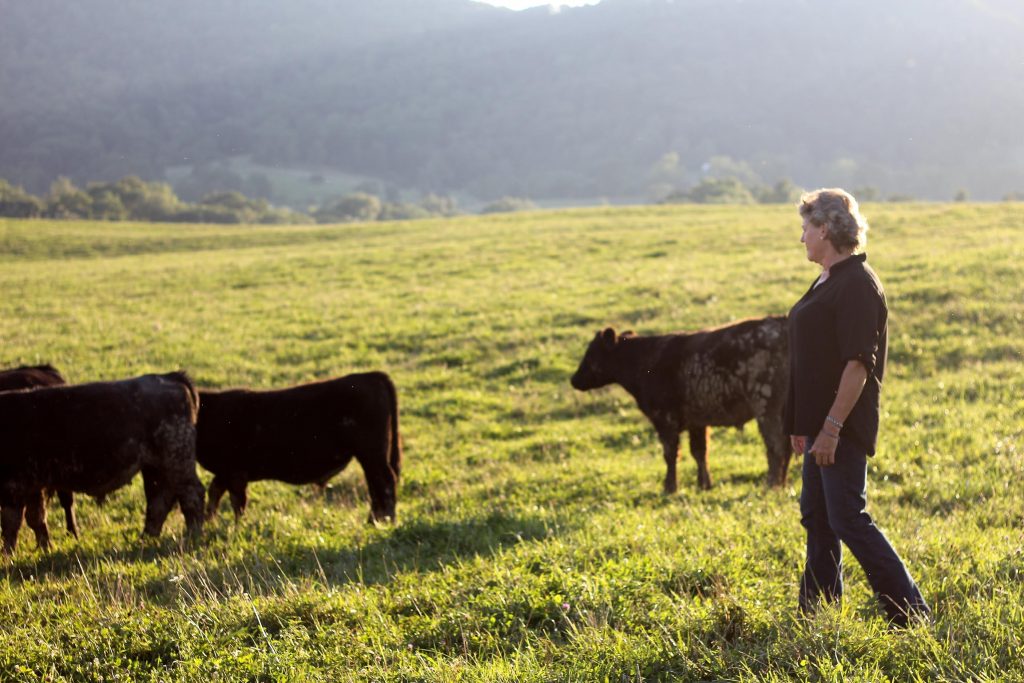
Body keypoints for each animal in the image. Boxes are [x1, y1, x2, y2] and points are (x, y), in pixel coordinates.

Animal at [193, 374, 401, 524]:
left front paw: (235, 527)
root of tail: (372, 376)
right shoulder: (224, 472)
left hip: (372, 454)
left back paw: (387, 520)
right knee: (375, 484)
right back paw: (373, 520)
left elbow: (237, 503)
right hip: (370, 457)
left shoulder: (235, 473)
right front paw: (210, 521)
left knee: (385, 481)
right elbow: (214, 493)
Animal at [569, 317, 790, 493]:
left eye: (591, 354)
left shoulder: (665, 420)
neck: (645, 360)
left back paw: (770, 485)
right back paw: (782, 484)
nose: (574, 379)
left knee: (776, 447)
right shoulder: (697, 422)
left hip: (766, 408)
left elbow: (670, 454)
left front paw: (670, 487)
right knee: (786, 448)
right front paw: (704, 484)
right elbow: (699, 452)